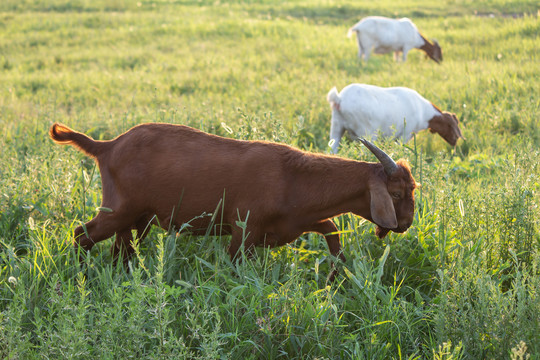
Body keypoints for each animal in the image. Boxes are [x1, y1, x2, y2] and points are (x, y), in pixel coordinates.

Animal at [49, 123, 418, 278]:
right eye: (396, 194)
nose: (406, 224)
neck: (294, 177)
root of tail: (106, 146)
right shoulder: (244, 230)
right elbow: (235, 267)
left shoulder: (292, 223)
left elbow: (331, 228)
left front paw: (335, 277)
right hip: (119, 209)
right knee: (81, 234)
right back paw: (81, 278)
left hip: (137, 217)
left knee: (121, 250)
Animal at [326, 83, 466, 154]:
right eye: (453, 126)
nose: (455, 143)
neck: (423, 112)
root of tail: (339, 99)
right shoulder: (406, 133)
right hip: (368, 134)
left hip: (336, 126)